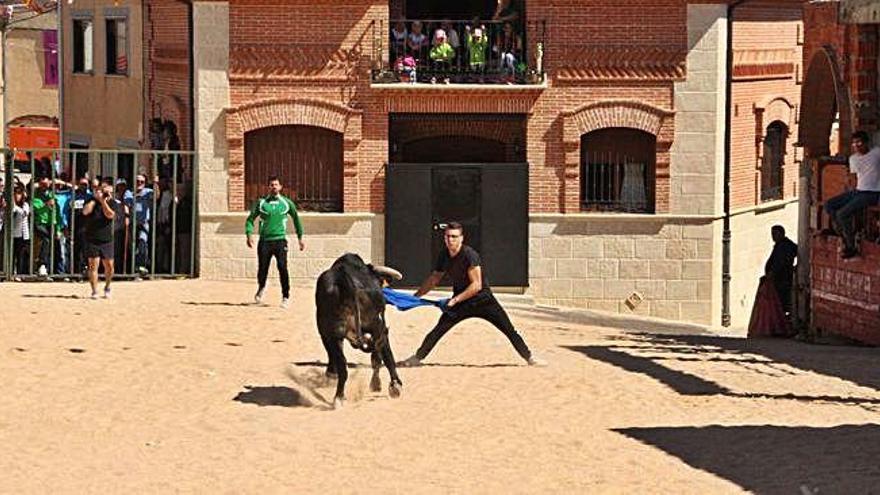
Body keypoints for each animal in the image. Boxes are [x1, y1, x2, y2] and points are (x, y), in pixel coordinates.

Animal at [314, 254, 404, 404]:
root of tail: (345, 280)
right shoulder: (378, 327)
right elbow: (382, 355)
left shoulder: (326, 333)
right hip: (376, 325)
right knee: (381, 352)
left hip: (332, 331)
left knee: (342, 363)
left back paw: (339, 396)